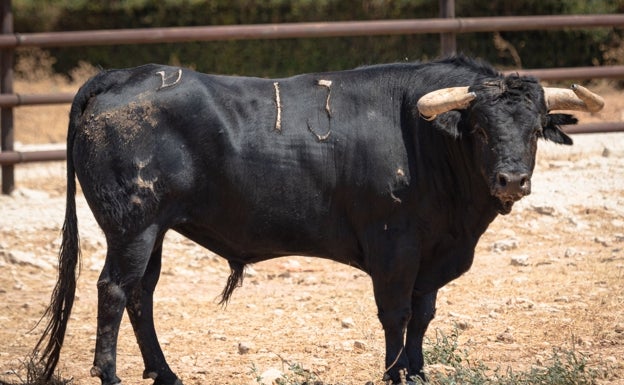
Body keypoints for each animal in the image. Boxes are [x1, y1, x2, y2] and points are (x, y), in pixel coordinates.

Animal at [33, 55, 604, 382]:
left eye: (535, 129)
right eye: (481, 129)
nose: (512, 180)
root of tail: (122, 76)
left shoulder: (431, 256)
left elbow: (423, 317)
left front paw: (417, 374)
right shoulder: (393, 247)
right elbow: (395, 316)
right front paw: (394, 375)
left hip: (154, 230)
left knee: (141, 294)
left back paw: (165, 373)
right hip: (132, 227)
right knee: (114, 290)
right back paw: (111, 375)